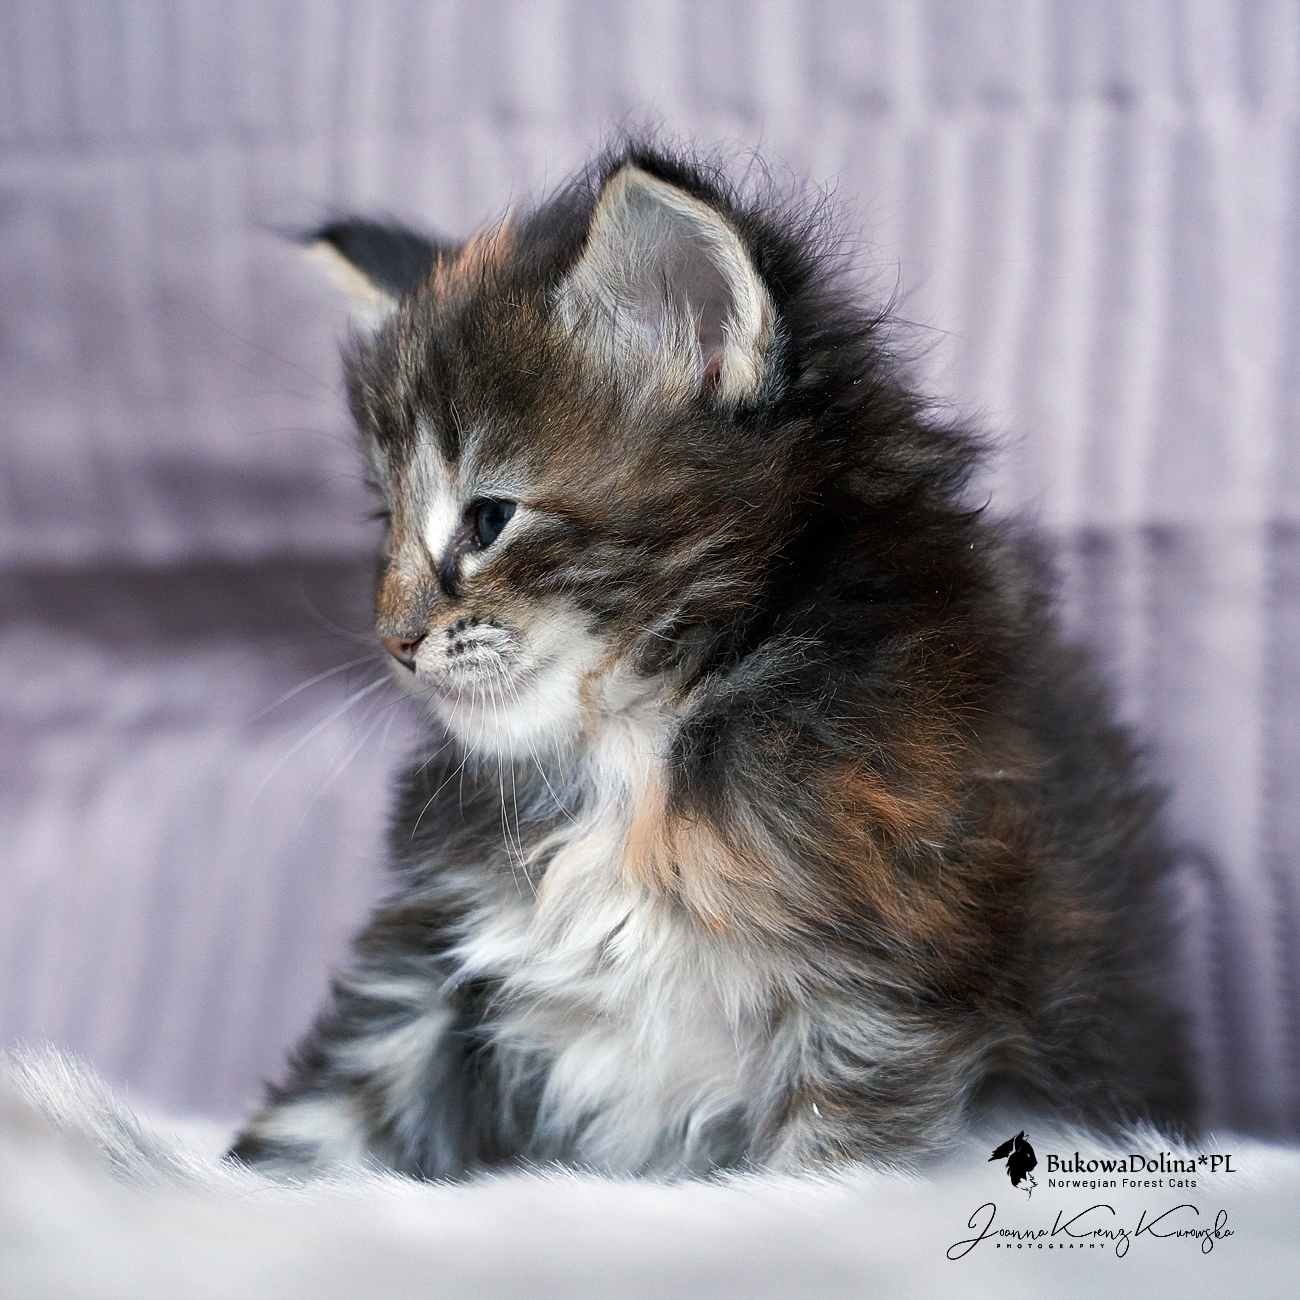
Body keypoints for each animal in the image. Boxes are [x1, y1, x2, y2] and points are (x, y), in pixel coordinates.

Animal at [230, 142, 1193, 1180]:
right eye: (386, 528)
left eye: (487, 519)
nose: (394, 639)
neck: (637, 751)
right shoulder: (433, 954)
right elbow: (323, 1117)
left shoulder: (875, 994)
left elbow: (828, 1171)